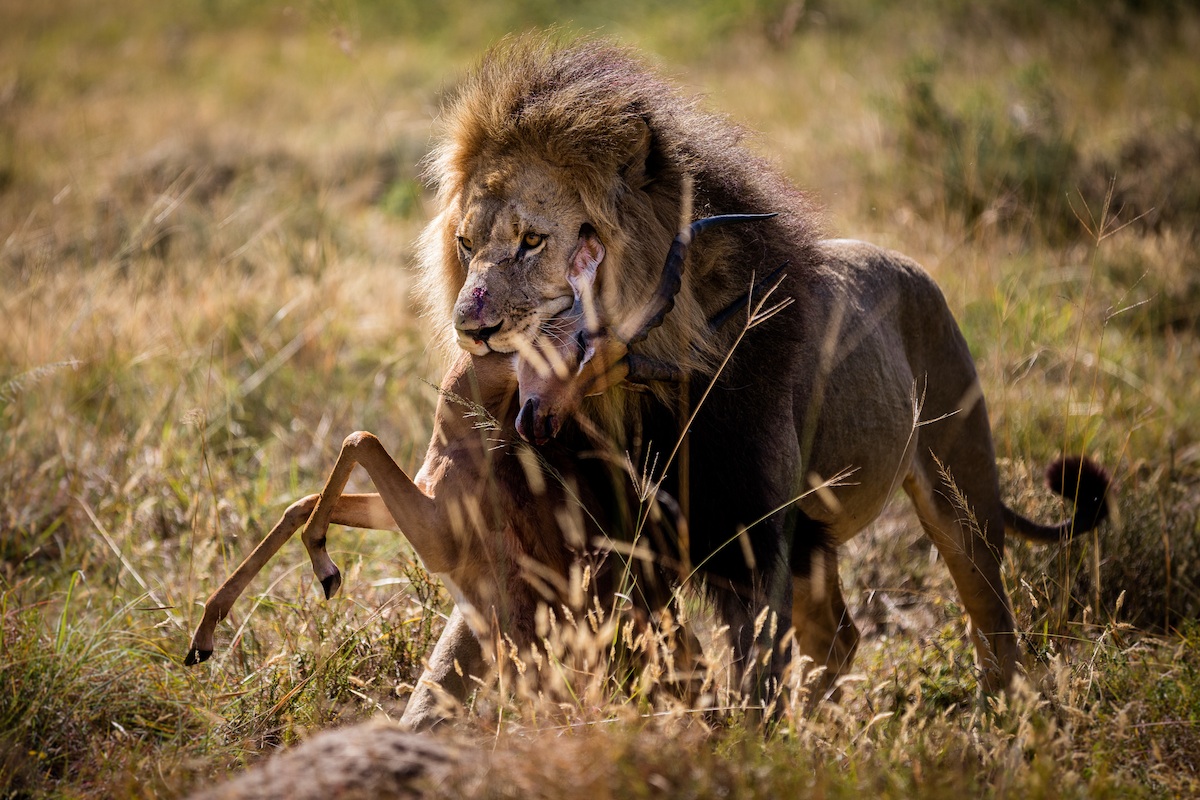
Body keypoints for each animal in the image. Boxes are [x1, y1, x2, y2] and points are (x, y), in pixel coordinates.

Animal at [412, 35, 1104, 724]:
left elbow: (751, 690)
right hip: (814, 548)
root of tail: (909, 265)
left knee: (992, 626)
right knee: (842, 637)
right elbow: (442, 674)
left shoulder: (753, 543)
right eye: (466, 245)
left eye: (532, 241)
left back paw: (1000, 721)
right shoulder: (560, 548)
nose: (470, 327)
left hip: (961, 492)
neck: (626, 402)